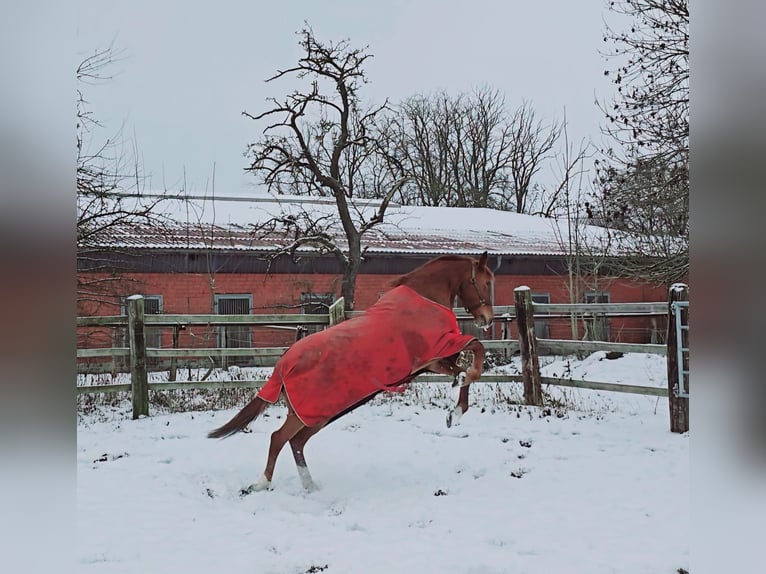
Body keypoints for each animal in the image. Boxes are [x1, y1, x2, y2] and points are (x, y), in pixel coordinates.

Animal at [208, 252, 495, 493]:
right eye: (486, 282)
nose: (488, 319)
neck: (424, 298)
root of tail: (282, 366)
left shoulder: (432, 363)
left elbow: (461, 370)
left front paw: (455, 412)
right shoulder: (436, 351)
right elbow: (475, 352)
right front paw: (458, 404)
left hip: (317, 415)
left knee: (296, 442)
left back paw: (310, 485)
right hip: (310, 413)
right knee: (279, 438)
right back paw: (262, 484)